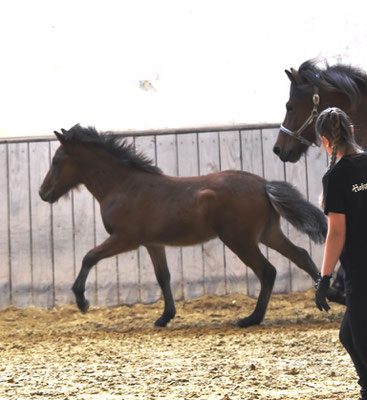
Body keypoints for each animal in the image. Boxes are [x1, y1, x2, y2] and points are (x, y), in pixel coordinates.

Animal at [38, 126, 330, 328]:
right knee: (301, 256)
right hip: (268, 234)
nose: (43, 193)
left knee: (267, 271)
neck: (123, 186)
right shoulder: (152, 243)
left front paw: (82, 301)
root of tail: (263, 185)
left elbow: (89, 257)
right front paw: (164, 317)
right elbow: (163, 276)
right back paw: (325, 301)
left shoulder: (125, 239)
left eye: (56, 161)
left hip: (240, 240)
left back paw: (252, 318)